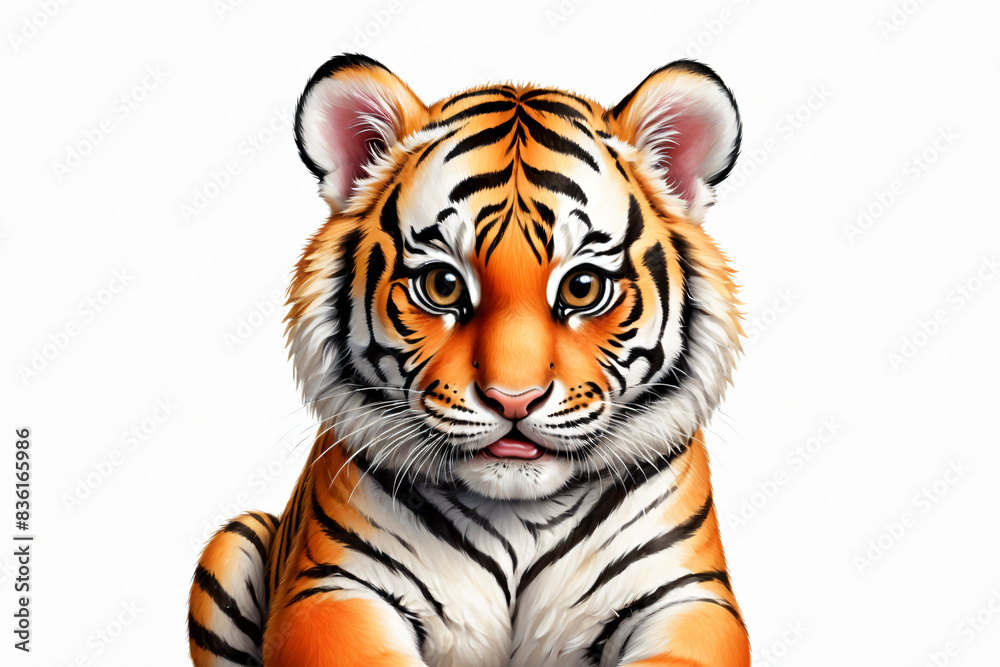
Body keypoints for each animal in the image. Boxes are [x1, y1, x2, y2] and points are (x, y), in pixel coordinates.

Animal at [188, 53, 749, 667]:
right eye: (442, 284)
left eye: (581, 287)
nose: (514, 400)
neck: (520, 515)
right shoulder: (331, 588)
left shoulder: (686, 594)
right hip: (233, 539)